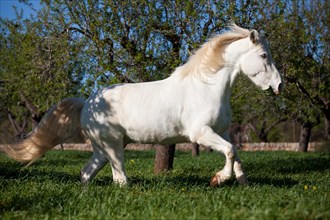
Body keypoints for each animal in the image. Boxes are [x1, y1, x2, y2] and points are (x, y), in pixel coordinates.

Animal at [0, 24, 284, 186]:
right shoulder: (201, 133)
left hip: (104, 149)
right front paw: (218, 179)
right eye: (263, 55)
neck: (207, 87)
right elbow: (230, 152)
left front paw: (243, 184)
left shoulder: (222, 131)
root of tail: (87, 103)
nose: (279, 85)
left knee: (86, 173)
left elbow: (236, 154)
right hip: (113, 148)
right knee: (120, 179)